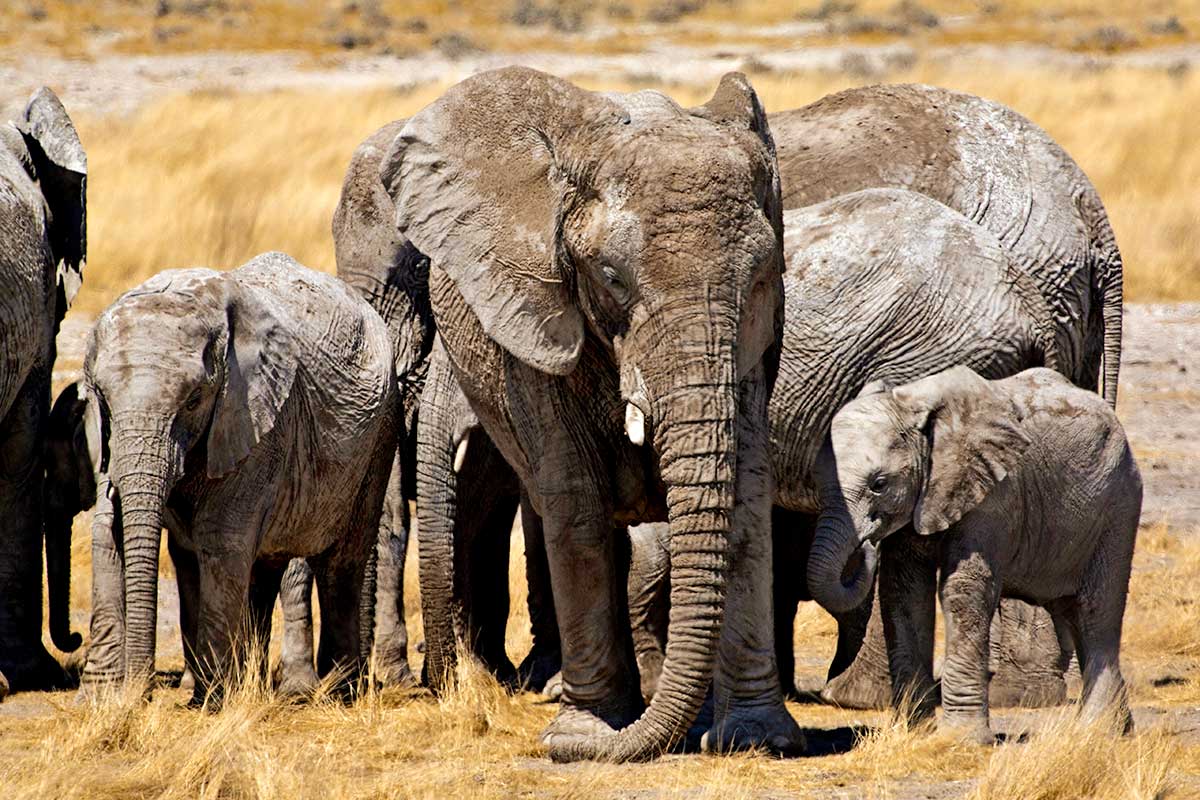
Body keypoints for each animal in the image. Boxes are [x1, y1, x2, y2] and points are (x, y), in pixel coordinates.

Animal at [81, 253, 398, 705]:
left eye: (194, 400)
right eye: (101, 397)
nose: (143, 696)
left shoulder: (257, 417)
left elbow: (220, 537)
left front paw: (211, 702)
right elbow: (113, 529)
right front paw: (104, 698)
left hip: (380, 432)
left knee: (342, 562)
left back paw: (339, 692)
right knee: (258, 566)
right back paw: (255, 685)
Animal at [386, 65, 796, 762]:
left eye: (761, 277)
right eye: (610, 276)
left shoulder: (753, 348)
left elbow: (745, 491)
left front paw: (758, 738)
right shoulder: (534, 327)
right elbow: (575, 498)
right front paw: (581, 737)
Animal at [811, 369, 1137, 743]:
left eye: (879, 484)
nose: (865, 546)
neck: (913, 406)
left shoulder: (995, 493)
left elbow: (964, 589)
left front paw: (962, 739)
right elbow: (903, 590)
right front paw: (913, 733)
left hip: (1118, 506)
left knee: (1095, 614)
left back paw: (1100, 732)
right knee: (1072, 614)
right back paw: (1113, 730)